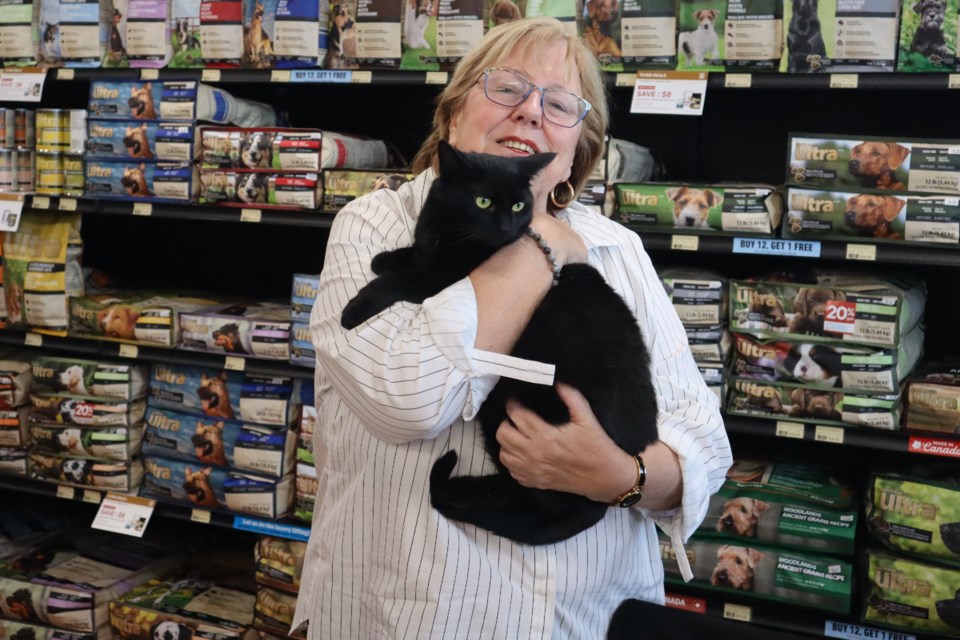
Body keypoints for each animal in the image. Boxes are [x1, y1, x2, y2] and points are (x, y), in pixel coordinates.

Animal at [340, 141, 660, 544]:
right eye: (483, 202)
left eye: (519, 206)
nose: (507, 227)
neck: (452, 232)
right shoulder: (435, 247)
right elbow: (415, 252)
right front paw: (386, 257)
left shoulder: (444, 278)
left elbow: (402, 280)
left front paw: (355, 307)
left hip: (514, 408)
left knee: (539, 500)